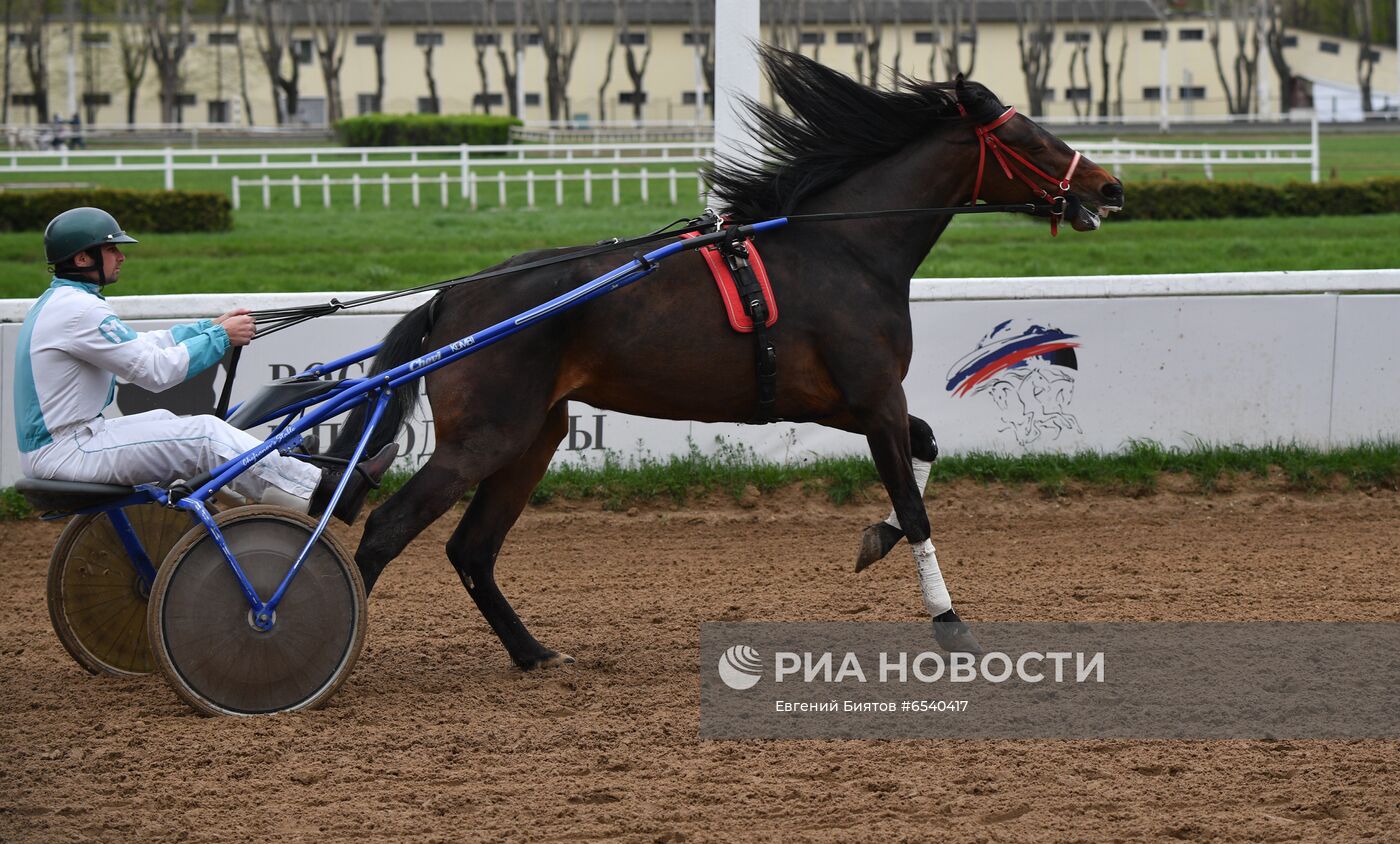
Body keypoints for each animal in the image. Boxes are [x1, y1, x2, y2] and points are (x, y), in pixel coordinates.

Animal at [327, 47, 1125, 666]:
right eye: (1033, 138)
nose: (1110, 187)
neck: (846, 249)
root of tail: (452, 300)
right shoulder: (874, 399)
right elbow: (916, 506)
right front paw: (950, 624)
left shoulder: (838, 402)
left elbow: (924, 454)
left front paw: (875, 539)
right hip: (487, 436)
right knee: (386, 530)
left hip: (533, 436)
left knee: (472, 548)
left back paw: (534, 652)